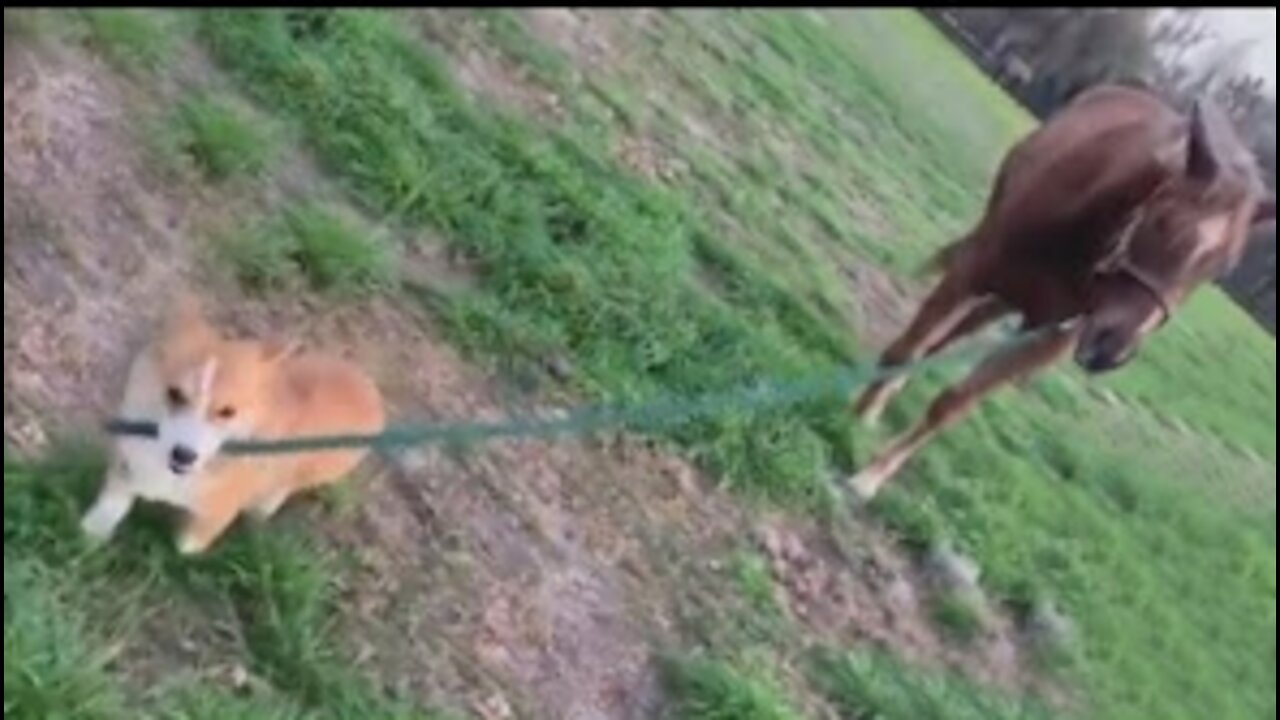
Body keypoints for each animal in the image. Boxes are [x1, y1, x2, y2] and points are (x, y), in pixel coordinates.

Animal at [844, 83, 1274, 497]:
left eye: (1221, 267)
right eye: (1164, 221)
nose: (1110, 350)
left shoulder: (1047, 341)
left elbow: (953, 404)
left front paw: (872, 475)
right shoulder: (972, 272)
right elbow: (906, 349)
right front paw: (859, 418)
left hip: (1011, 303)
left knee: (957, 332)